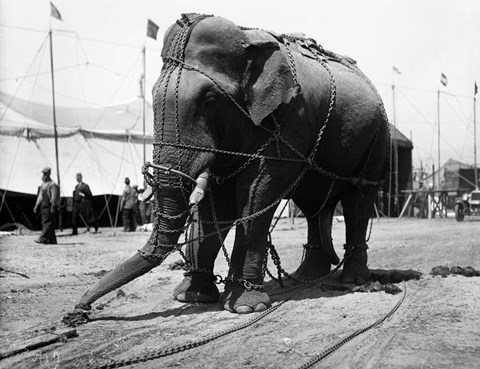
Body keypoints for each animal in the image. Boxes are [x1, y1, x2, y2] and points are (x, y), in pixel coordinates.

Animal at [74, 12, 390, 314]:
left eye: (210, 99)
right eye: (152, 96)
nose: (79, 309)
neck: (248, 40)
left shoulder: (291, 122)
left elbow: (257, 194)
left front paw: (246, 306)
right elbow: (217, 203)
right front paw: (193, 297)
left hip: (379, 141)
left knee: (358, 201)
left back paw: (353, 280)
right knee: (314, 206)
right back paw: (307, 275)